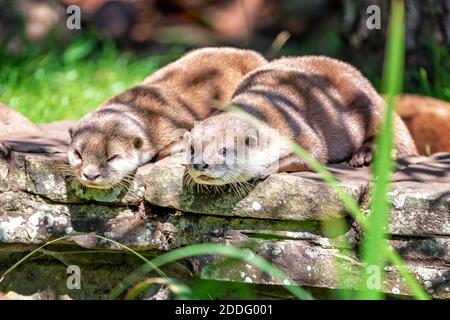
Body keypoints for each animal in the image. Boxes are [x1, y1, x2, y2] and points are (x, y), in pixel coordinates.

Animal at [187, 55, 418, 185]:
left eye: (224, 150)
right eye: (192, 149)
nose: (200, 164)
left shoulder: (296, 125)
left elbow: (315, 153)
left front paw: (265, 168)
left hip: (368, 106)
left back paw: (363, 155)